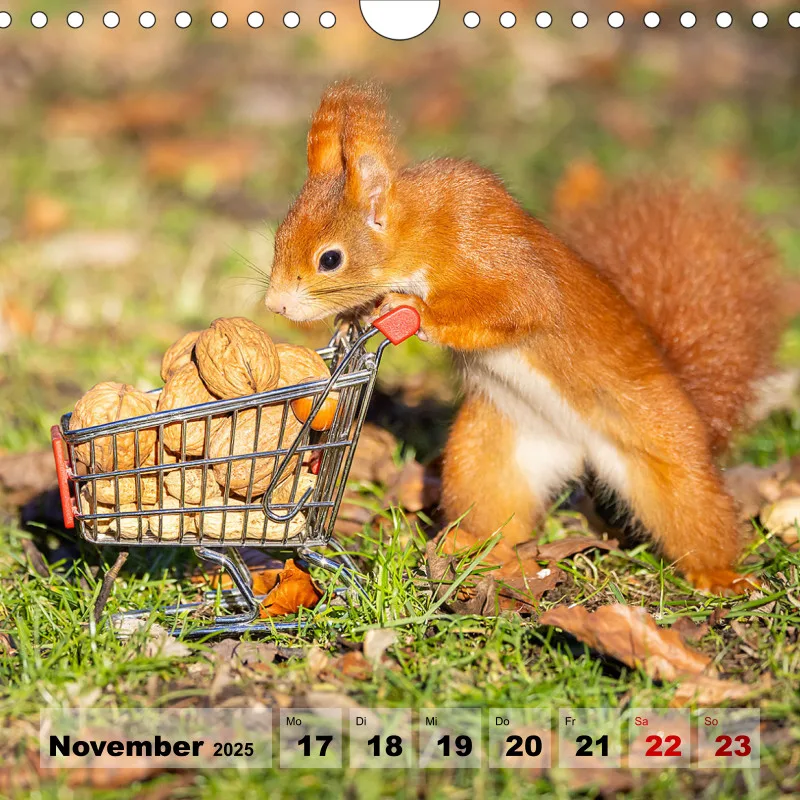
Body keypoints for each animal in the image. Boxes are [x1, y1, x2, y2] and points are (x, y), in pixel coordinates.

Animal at [265, 81, 782, 595]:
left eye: (330, 259)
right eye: (278, 238)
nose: (276, 306)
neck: (424, 230)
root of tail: (578, 451)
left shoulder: (495, 256)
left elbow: (518, 306)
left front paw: (411, 311)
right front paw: (354, 317)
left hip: (667, 447)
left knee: (695, 512)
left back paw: (719, 574)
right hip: (485, 453)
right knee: (499, 517)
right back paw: (471, 544)